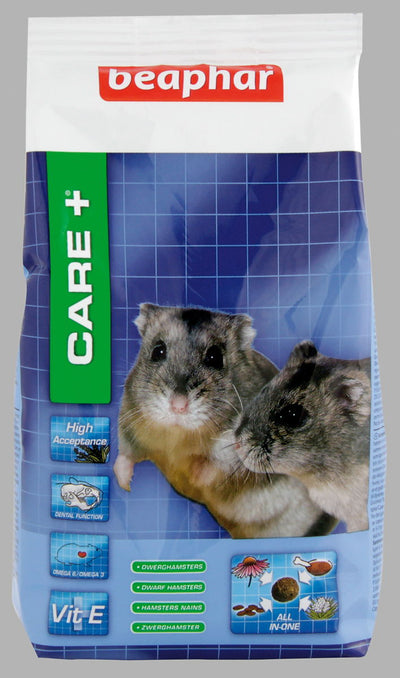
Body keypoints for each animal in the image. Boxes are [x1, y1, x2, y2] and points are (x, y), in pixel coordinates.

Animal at [114, 304, 333, 538]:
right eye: (158, 351)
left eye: (214, 357)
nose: (178, 406)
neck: (180, 433)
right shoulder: (129, 422)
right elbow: (125, 456)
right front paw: (125, 486)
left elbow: (223, 457)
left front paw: (195, 476)